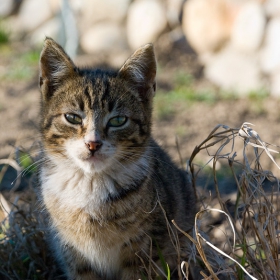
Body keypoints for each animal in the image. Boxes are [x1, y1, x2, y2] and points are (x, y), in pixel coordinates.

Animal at [38, 37, 197, 280]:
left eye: (118, 120)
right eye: (72, 118)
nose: (93, 143)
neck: (91, 184)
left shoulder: (147, 253)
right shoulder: (74, 257)